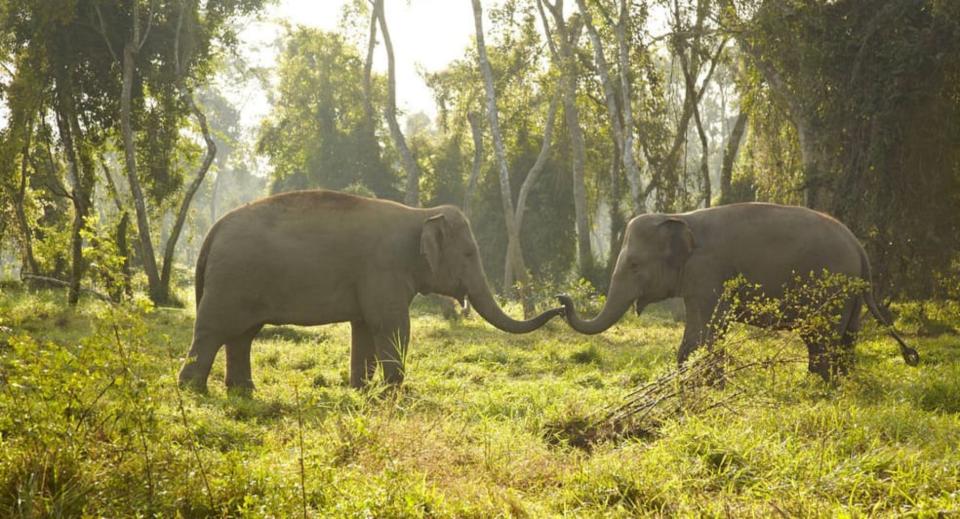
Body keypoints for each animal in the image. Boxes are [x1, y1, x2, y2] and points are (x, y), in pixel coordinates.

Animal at [180, 189, 564, 392]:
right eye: (470, 253)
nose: (563, 303)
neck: (421, 214)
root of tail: (213, 230)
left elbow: (364, 327)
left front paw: (360, 391)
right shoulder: (385, 268)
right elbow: (391, 325)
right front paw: (394, 393)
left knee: (242, 335)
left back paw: (242, 392)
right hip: (231, 281)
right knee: (213, 331)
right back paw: (193, 390)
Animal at [560, 203, 920, 382]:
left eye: (634, 265)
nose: (563, 300)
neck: (679, 217)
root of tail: (859, 248)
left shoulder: (708, 271)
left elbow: (707, 329)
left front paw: (704, 385)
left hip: (831, 290)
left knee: (822, 338)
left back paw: (818, 384)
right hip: (850, 295)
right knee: (845, 337)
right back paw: (837, 382)